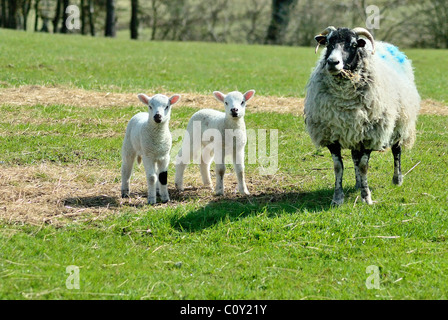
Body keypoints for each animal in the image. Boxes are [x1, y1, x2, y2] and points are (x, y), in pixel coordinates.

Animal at [304, 25, 420, 205]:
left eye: (353, 45)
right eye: (328, 43)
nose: (332, 62)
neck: (345, 100)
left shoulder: (370, 135)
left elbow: (364, 166)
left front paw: (366, 197)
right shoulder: (332, 135)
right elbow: (339, 167)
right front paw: (337, 198)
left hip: (400, 123)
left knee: (397, 150)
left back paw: (397, 179)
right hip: (354, 132)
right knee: (355, 157)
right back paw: (358, 183)